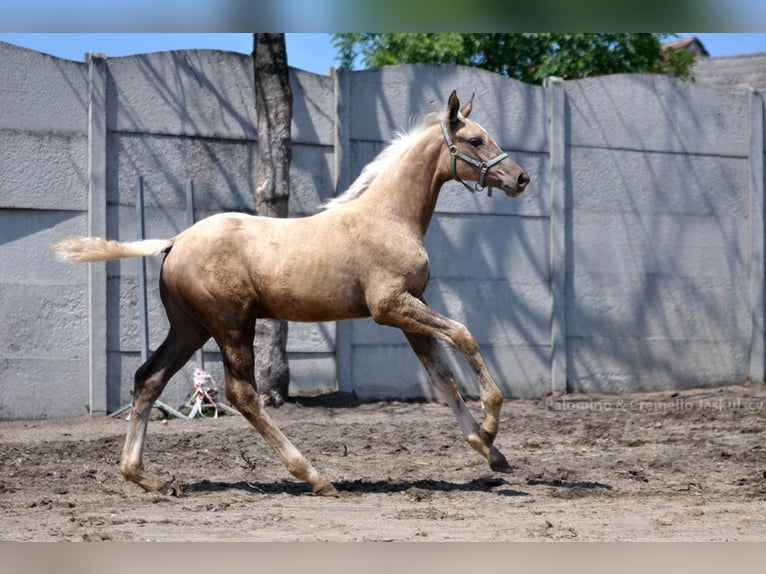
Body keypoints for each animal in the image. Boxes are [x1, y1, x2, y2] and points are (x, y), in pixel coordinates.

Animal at [54, 92, 532, 498]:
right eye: (475, 139)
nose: (521, 177)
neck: (389, 217)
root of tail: (173, 242)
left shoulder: (412, 308)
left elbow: (442, 376)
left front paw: (490, 451)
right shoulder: (390, 307)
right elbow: (464, 335)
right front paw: (490, 425)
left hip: (191, 327)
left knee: (148, 379)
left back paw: (146, 477)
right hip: (232, 325)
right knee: (242, 395)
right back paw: (316, 477)